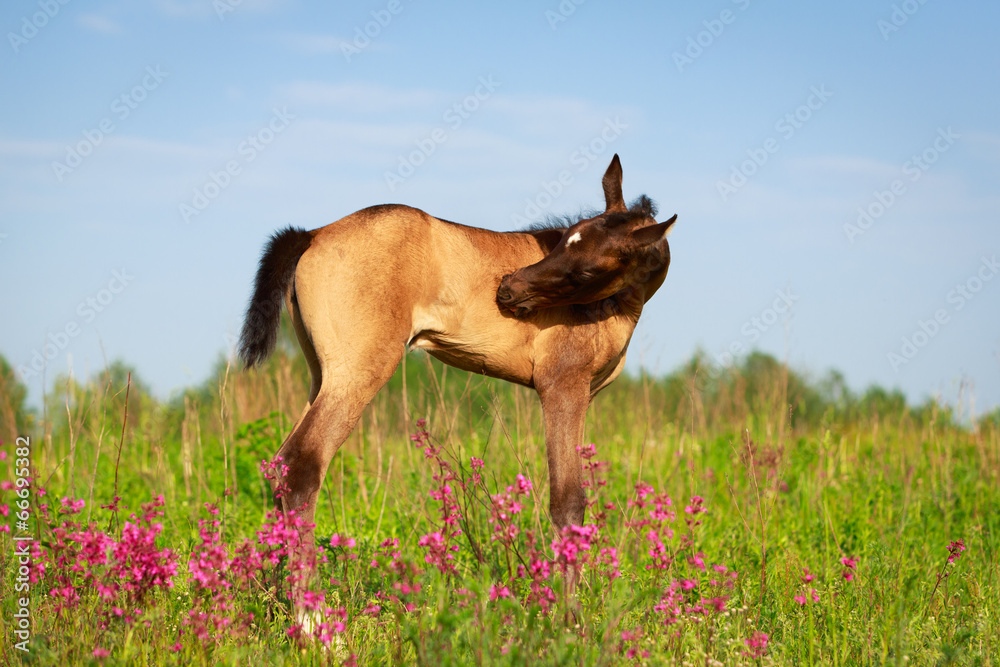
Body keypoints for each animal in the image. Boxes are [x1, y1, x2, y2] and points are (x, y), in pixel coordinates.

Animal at [238, 154, 676, 620]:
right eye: (562, 243)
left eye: (588, 268)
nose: (508, 289)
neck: (615, 305)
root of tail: (313, 234)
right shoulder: (563, 387)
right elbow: (568, 503)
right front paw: (568, 619)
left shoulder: (585, 396)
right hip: (357, 372)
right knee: (302, 464)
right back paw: (311, 618)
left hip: (322, 374)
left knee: (281, 466)